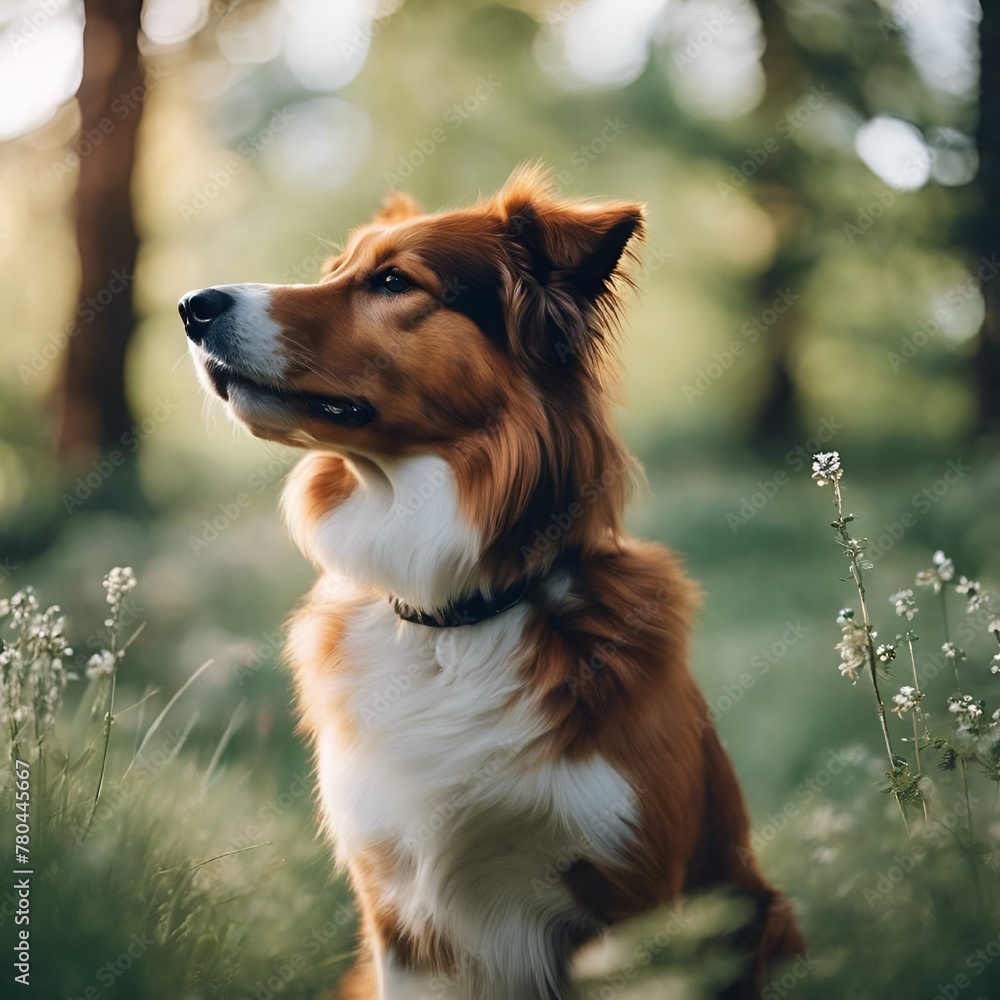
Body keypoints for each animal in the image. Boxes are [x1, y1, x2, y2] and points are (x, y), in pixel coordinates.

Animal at [180, 168, 804, 996]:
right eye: (332, 271)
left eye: (392, 281)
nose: (192, 306)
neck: (457, 620)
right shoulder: (401, 922)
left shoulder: (630, 906)